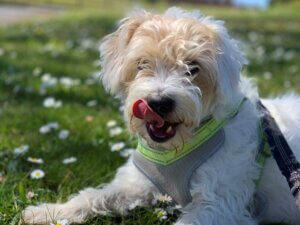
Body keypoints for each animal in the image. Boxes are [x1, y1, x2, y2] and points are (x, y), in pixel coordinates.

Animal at [22, 7, 300, 225]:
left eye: (193, 68)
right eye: (142, 63)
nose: (158, 103)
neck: (177, 148)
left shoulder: (219, 204)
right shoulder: (136, 185)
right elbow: (94, 195)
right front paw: (49, 212)